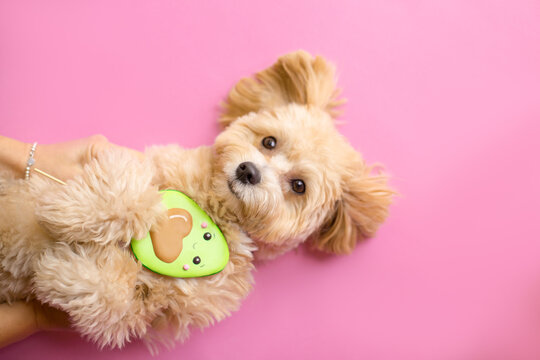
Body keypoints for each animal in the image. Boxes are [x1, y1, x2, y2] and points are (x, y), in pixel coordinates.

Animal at [0, 50, 392, 348]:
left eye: (298, 186)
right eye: (269, 142)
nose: (248, 171)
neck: (214, 210)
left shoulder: (155, 309)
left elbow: (116, 301)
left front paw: (63, 271)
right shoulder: (137, 165)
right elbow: (129, 194)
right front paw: (69, 212)